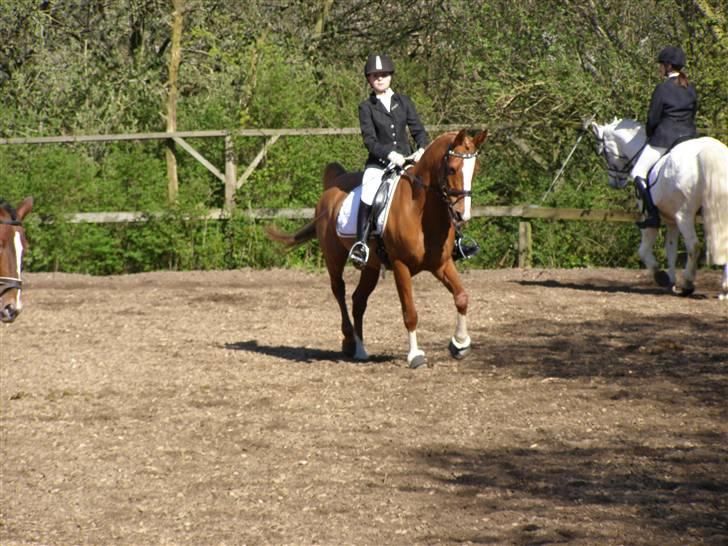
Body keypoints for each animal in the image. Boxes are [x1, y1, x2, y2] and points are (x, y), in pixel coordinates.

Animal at [264, 129, 486, 366]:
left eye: (475, 170)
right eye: (452, 168)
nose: (462, 216)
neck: (420, 211)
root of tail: (332, 185)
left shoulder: (441, 263)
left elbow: (461, 297)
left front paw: (460, 343)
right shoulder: (400, 265)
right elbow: (410, 312)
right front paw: (415, 355)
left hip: (371, 266)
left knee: (358, 300)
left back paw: (360, 349)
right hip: (334, 257)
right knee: (339, 290)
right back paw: (349, 341)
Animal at [592, 117, 728, 300]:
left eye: (604, 152)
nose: (614, 183)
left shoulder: (650, 218)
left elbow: (643, 250)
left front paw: (661, 276)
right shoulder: (671, 220)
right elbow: (670, 249)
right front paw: (671, 281)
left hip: (684, 215)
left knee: (693, 246)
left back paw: (688, 284)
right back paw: (724, 290)